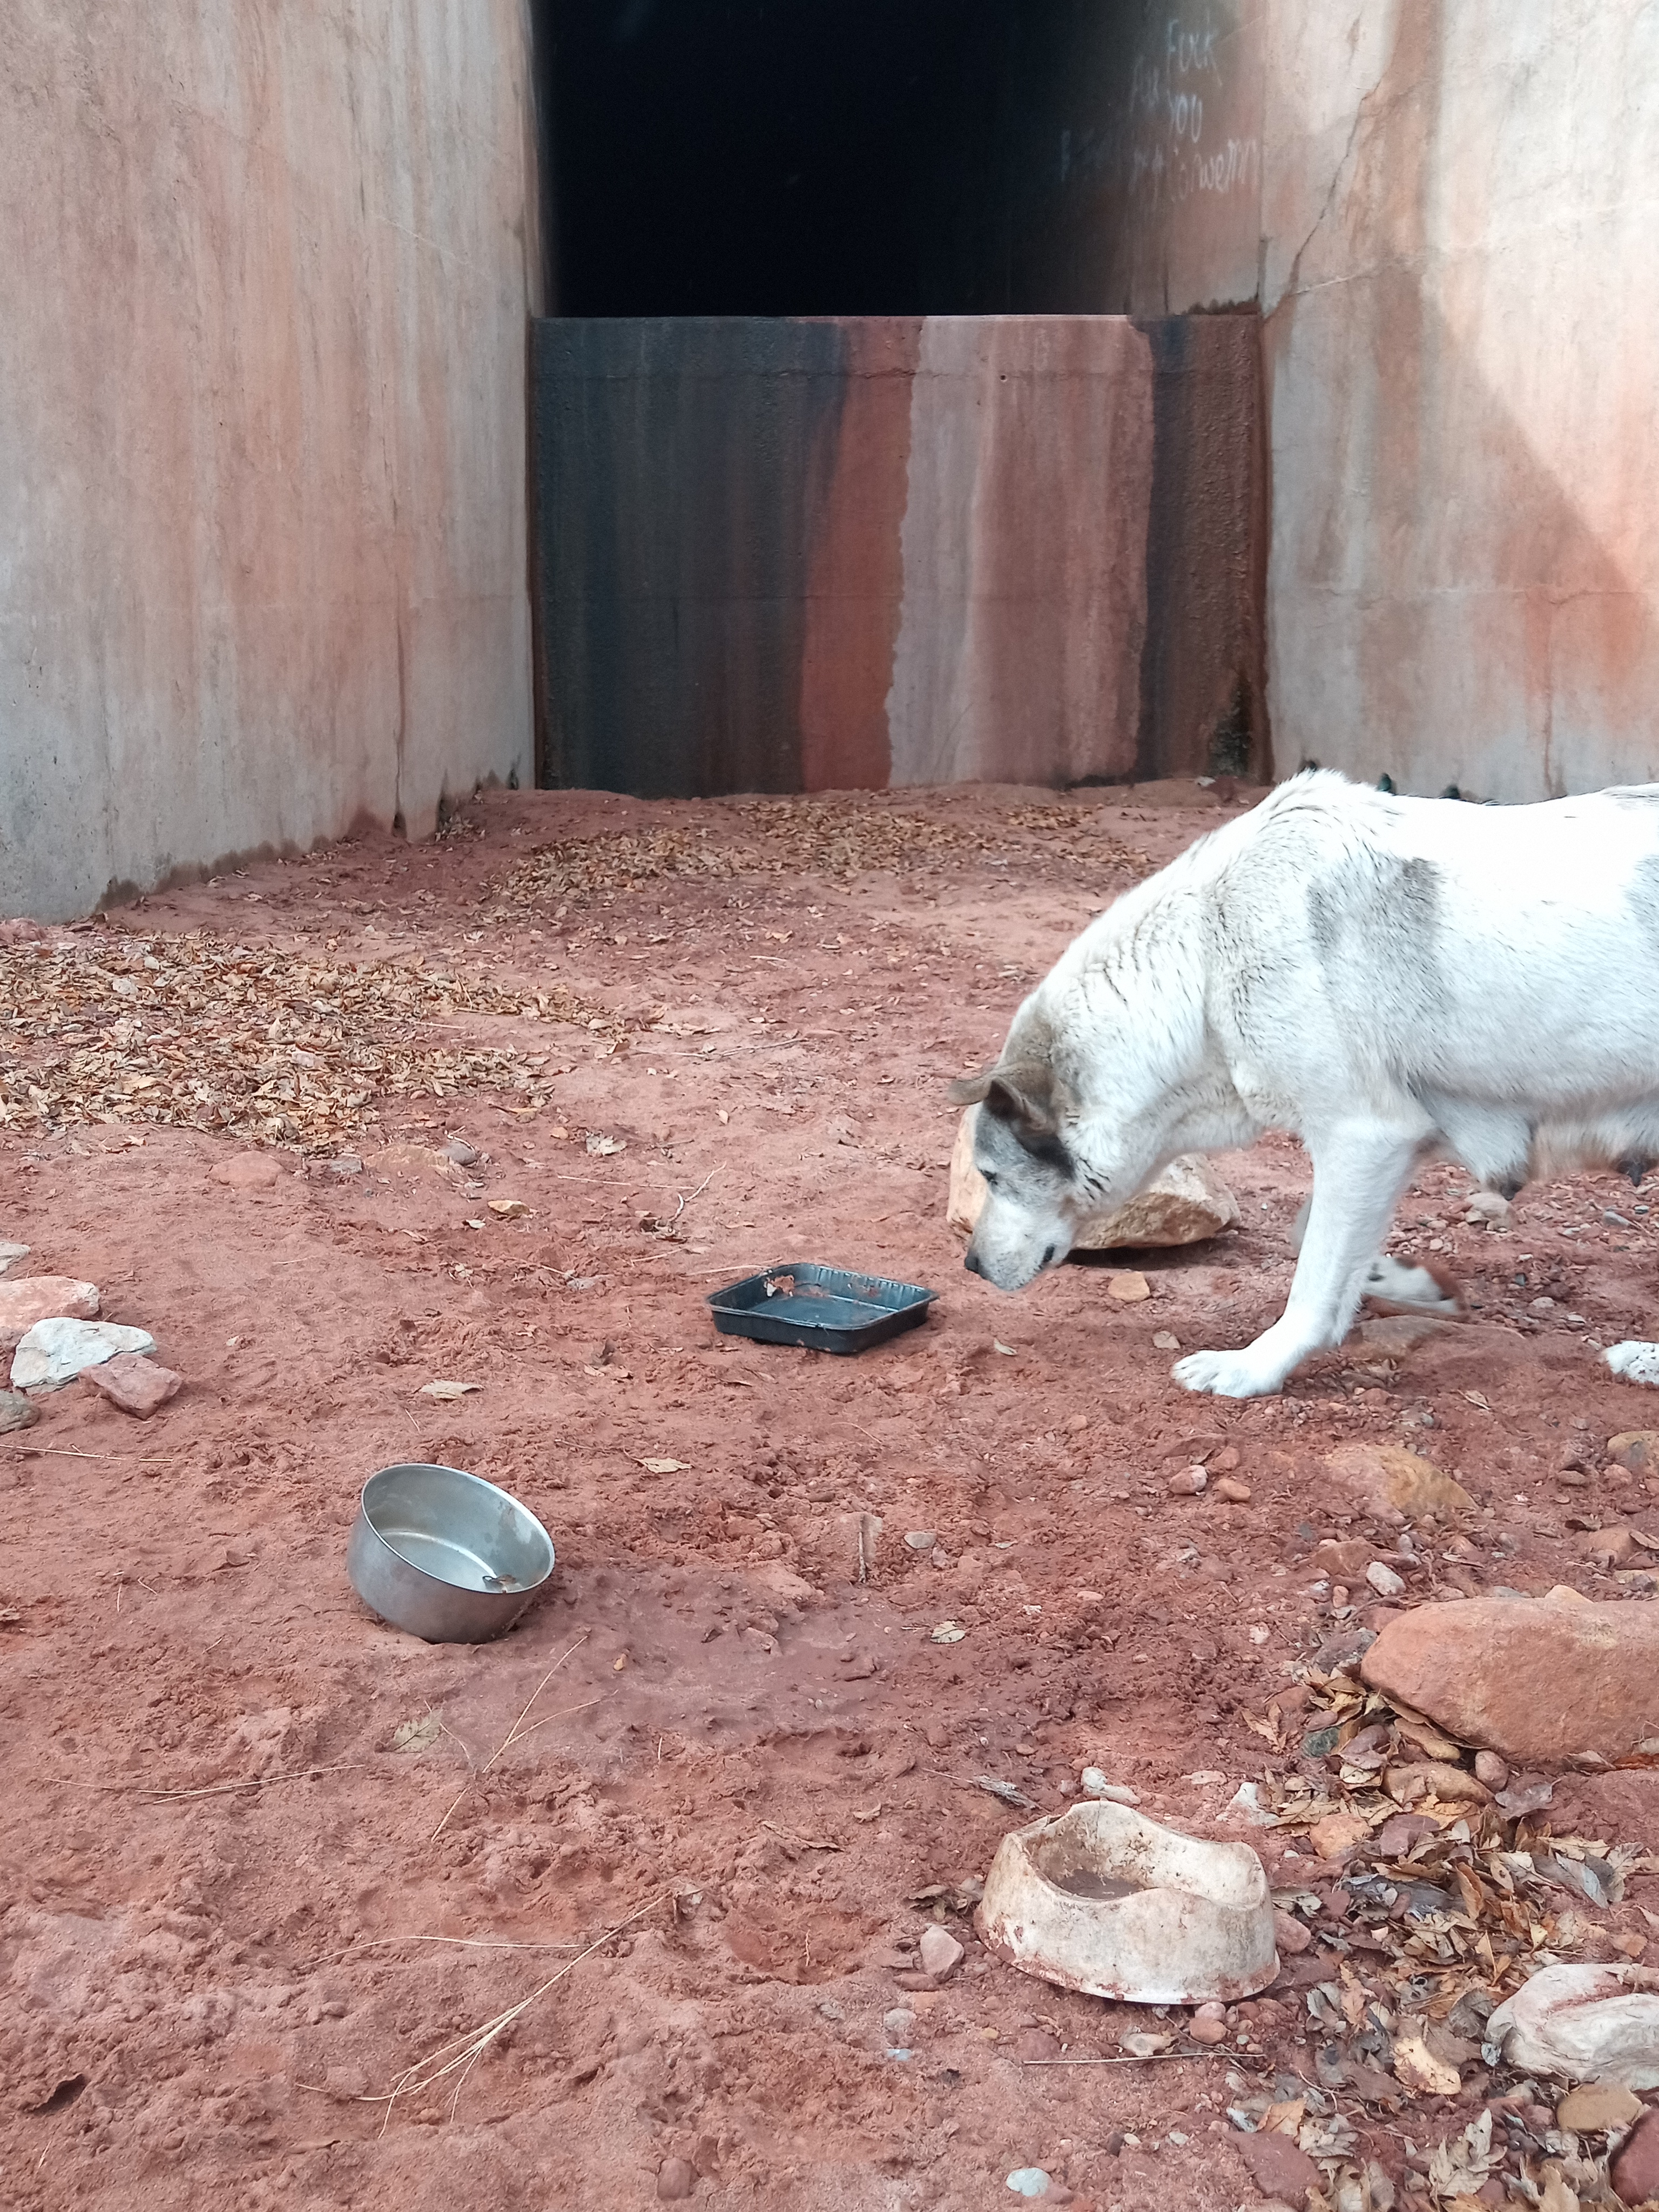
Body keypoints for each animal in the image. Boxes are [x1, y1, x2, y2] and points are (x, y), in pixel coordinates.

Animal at [951, 769, 1659, 1398]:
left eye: (991, 1176)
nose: (969, 1266)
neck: (1205, 961)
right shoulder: (1383, 1148)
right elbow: (1315, 1243)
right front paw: (1411, 1284)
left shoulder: (1363, 1136)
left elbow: (1312, 1285)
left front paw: (1251, 1368)